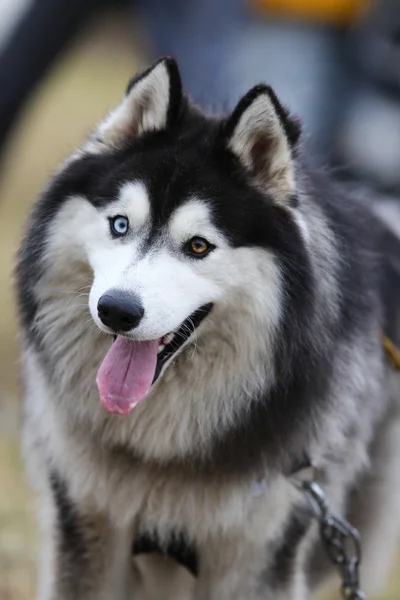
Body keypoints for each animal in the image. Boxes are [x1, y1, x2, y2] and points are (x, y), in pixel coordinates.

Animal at [15, 57, 400, 600]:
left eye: (198, 246)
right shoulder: (85, 517)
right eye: (119, 225)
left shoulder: (259, 549)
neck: (165, 453)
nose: (116, 311)